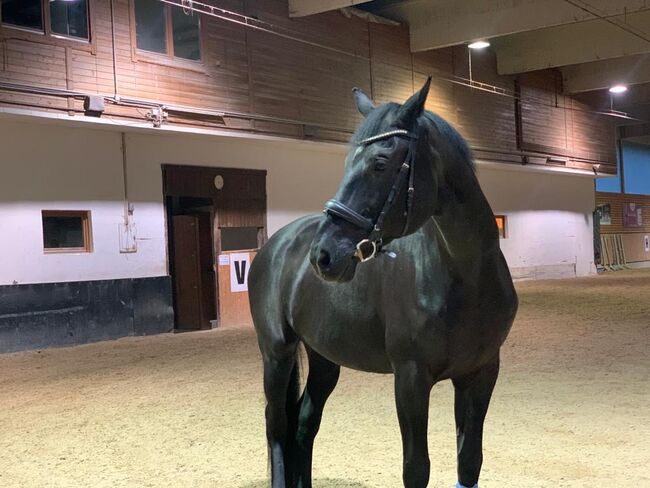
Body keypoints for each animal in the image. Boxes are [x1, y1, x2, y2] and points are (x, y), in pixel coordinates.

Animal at [248, 79, 516, 488]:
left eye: (380, 163)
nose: (323, 255)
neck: (465, 278)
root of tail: (277, 244)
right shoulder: (410, 378)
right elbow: (416, 468)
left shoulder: (481, 373)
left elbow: (469, 461)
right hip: (276, 353)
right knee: (276, 427)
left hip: (324, 358)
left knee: (304, 424)